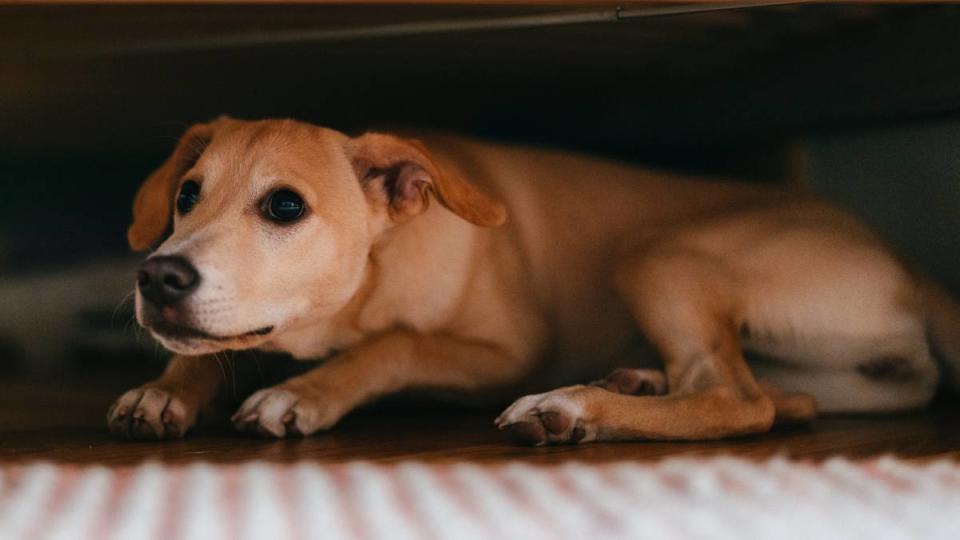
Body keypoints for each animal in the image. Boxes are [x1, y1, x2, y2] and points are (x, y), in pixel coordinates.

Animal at [107, 117, 960, 442]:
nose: (158, 277)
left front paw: (304, 393)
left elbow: (395, 346)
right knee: (784, 398)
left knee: (735, 399)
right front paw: (166, 388)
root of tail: (915, 271)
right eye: (187, 195)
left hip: (657, 252)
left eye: (285, 206)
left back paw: (573, 406)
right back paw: (633, 381)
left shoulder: (507, 350)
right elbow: (214, 348)